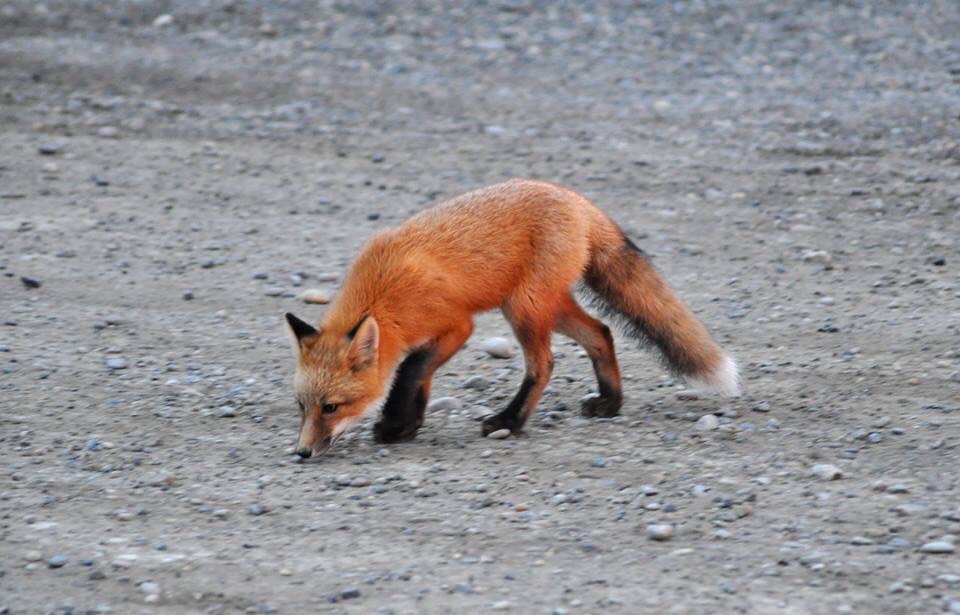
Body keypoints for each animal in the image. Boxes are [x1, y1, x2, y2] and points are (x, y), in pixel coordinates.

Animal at [285, 179, 739, 458]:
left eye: (331, 407)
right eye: (301, 406)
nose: (303, 452)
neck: (385, 291)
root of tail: (573, 198)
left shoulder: (456, 326)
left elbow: (410, 371)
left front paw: (395, 421)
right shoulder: (431, 336)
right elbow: (420, 379)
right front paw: (406, 425)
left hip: (524, 308)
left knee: (544, 364)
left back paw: (511, 421)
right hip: (543, 305)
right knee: (601, 332)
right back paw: (609, 403)